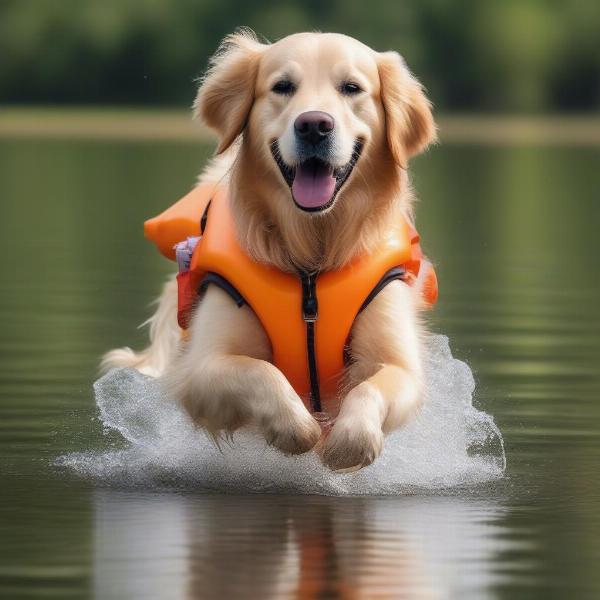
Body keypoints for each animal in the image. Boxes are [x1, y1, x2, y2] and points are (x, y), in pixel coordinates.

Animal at [104, 31, 436, 474]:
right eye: (282, 86)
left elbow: (372, 388)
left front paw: (347, 442)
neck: (311, 256)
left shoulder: (397, 357)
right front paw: (297, 429)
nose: (314, 125)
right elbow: (260, 373)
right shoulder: (201, 368)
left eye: (351, 88)